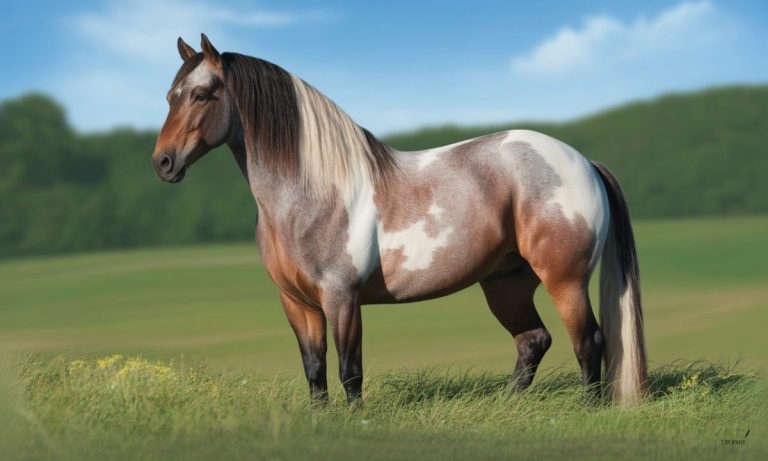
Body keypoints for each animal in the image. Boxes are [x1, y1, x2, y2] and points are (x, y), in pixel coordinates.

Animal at [152, 34, 647, 405]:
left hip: (565, 280)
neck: (309, 194)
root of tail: (583, 161)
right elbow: (314, 368)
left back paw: (589, 408)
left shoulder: (342, 299)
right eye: (170, 96)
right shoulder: (296, 302)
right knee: (533, 340)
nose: (163, 163)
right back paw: (507, 404)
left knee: (589, 341)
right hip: (506, 283)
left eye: (202, 94)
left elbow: (349, 369)